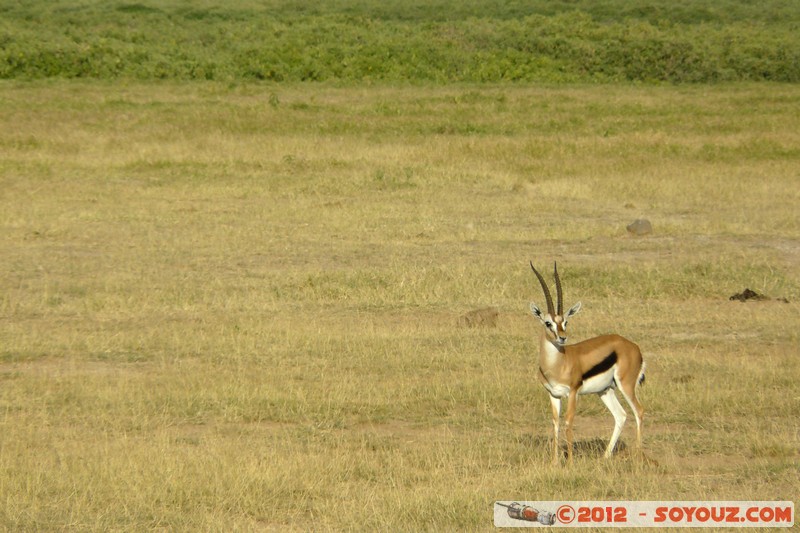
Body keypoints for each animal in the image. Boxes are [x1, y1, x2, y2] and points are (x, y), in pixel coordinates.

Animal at [529, 262, 645, 464]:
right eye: (548, 323)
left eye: (565, 321)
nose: (562, 338)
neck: (558, 364)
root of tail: (632, 346)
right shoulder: (553, 394)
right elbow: (555, 423)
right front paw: (554, 462)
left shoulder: (573, 393)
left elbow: (569, 422)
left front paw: (570, 463)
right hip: (605, 390)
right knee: (621, 415)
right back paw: (605, 457)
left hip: (626, 385)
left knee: (638, 411)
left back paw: (637, 458)